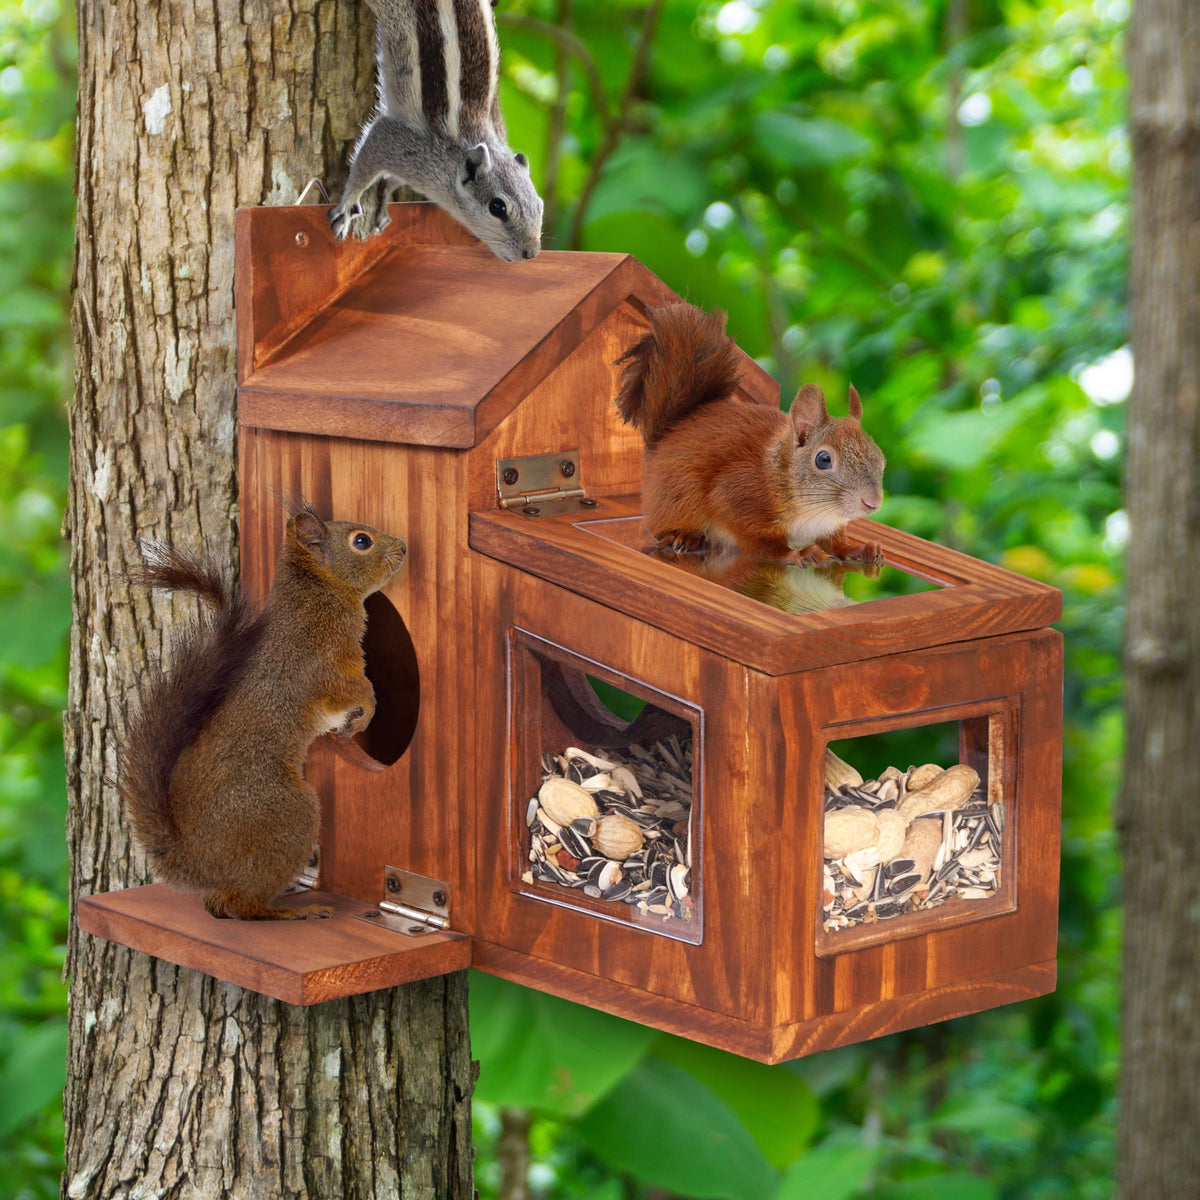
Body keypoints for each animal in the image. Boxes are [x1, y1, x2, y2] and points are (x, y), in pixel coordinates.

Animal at [118, 505, 407, 920]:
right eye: (361, 541)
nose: (403, 546)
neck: (316, 594)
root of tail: (196, 862)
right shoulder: (327, 661)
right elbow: (355, 691)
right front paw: (365, 712)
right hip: (287, 815)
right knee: (241, 907)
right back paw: (292, 912)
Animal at [330, 0, 543, 262]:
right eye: (497, 207)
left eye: (539, 206)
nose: (531, 253)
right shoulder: (397, 142)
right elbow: (364, 166)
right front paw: (347, 206)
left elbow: (390, 180)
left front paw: (385, 197)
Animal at [614, 302, 886, 568]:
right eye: (823, 459)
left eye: (881, 460)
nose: (872, 503)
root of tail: (667, 436)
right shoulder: (738, 494)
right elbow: (760, 542)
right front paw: (799, 554)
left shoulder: (829, 526)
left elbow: (835, 543)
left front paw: (858, 548)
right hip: (678, 497)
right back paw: (684, 536)